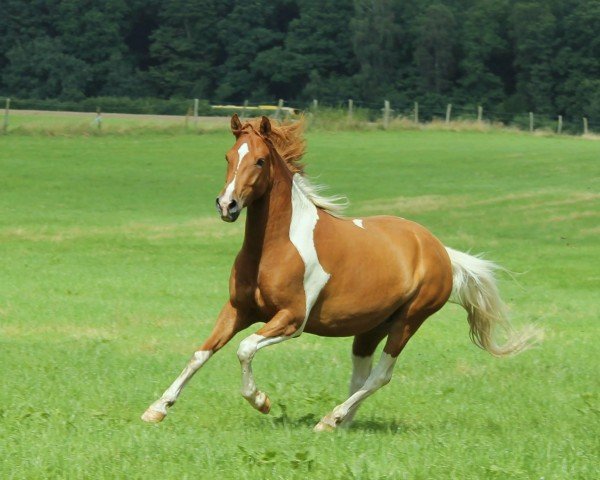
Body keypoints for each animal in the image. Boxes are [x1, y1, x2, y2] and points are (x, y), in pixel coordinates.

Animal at [142, 115, 540, 432]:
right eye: (227, 156)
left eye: (259, 160)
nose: (227, 205)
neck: (274, 247)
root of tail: (439, 250)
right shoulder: (238, 310)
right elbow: (201, 353)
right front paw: (157, 410)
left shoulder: (291, 319)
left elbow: (244, 348)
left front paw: (261, 401)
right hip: (371, 327)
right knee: (361, 375)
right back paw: (343, 422)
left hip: (408, 321)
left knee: (381, 375)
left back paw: (329, 420)